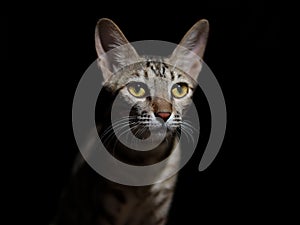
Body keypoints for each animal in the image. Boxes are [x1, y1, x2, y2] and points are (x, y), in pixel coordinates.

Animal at [52, 18, 209, 225]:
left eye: (179, 89)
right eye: (137, 89)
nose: (164, 114)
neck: (148, 161)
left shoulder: (159, 213)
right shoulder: (104, 211)